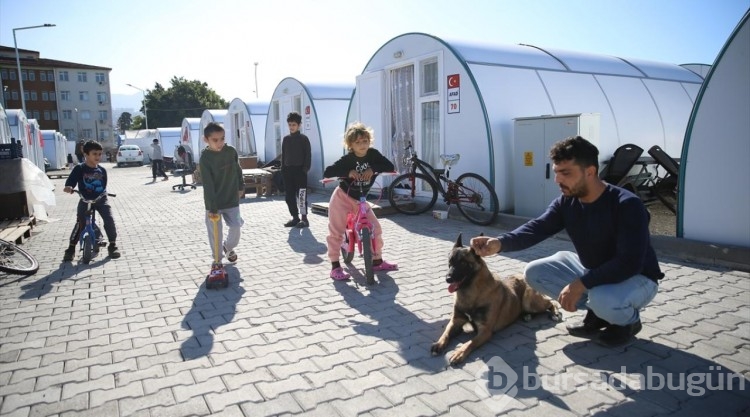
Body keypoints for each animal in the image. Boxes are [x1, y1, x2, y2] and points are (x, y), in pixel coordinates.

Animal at [432, 234, 560, 364]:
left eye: (463, 263)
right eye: (450, 262)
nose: (448, 279)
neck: (472, 293)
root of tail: (522, 276)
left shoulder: (485, 330)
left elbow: (470, 343)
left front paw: (459, 353)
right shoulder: (456, 321)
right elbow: (446, 333)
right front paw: (439, 343)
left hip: (530, 302)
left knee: (551, 303)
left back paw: (555, 314)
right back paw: (527, 316)